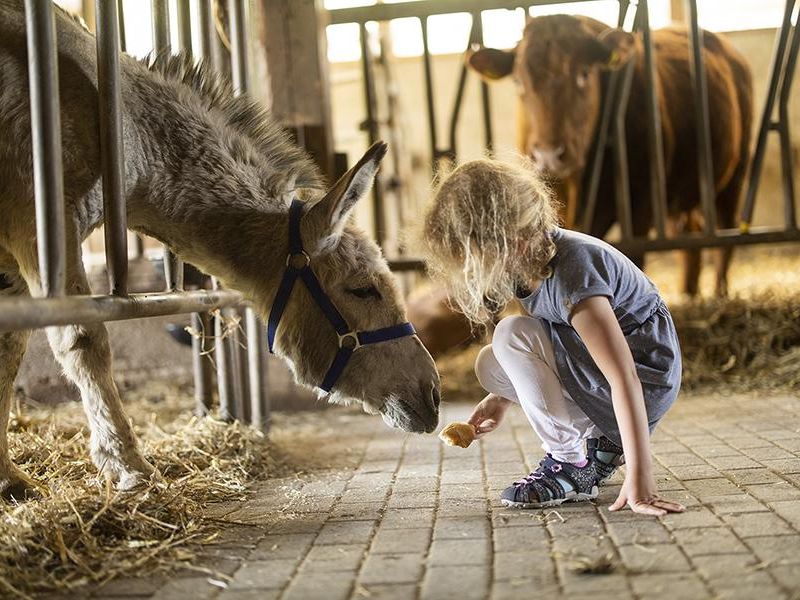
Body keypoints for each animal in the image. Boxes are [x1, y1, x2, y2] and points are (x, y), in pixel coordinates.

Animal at [466, 13, 752, 296]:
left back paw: (720, 293)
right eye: (518, 81)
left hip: (733, 179)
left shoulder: (641, 200)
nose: (548, 155)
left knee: (724, 239)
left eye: (583, 73)